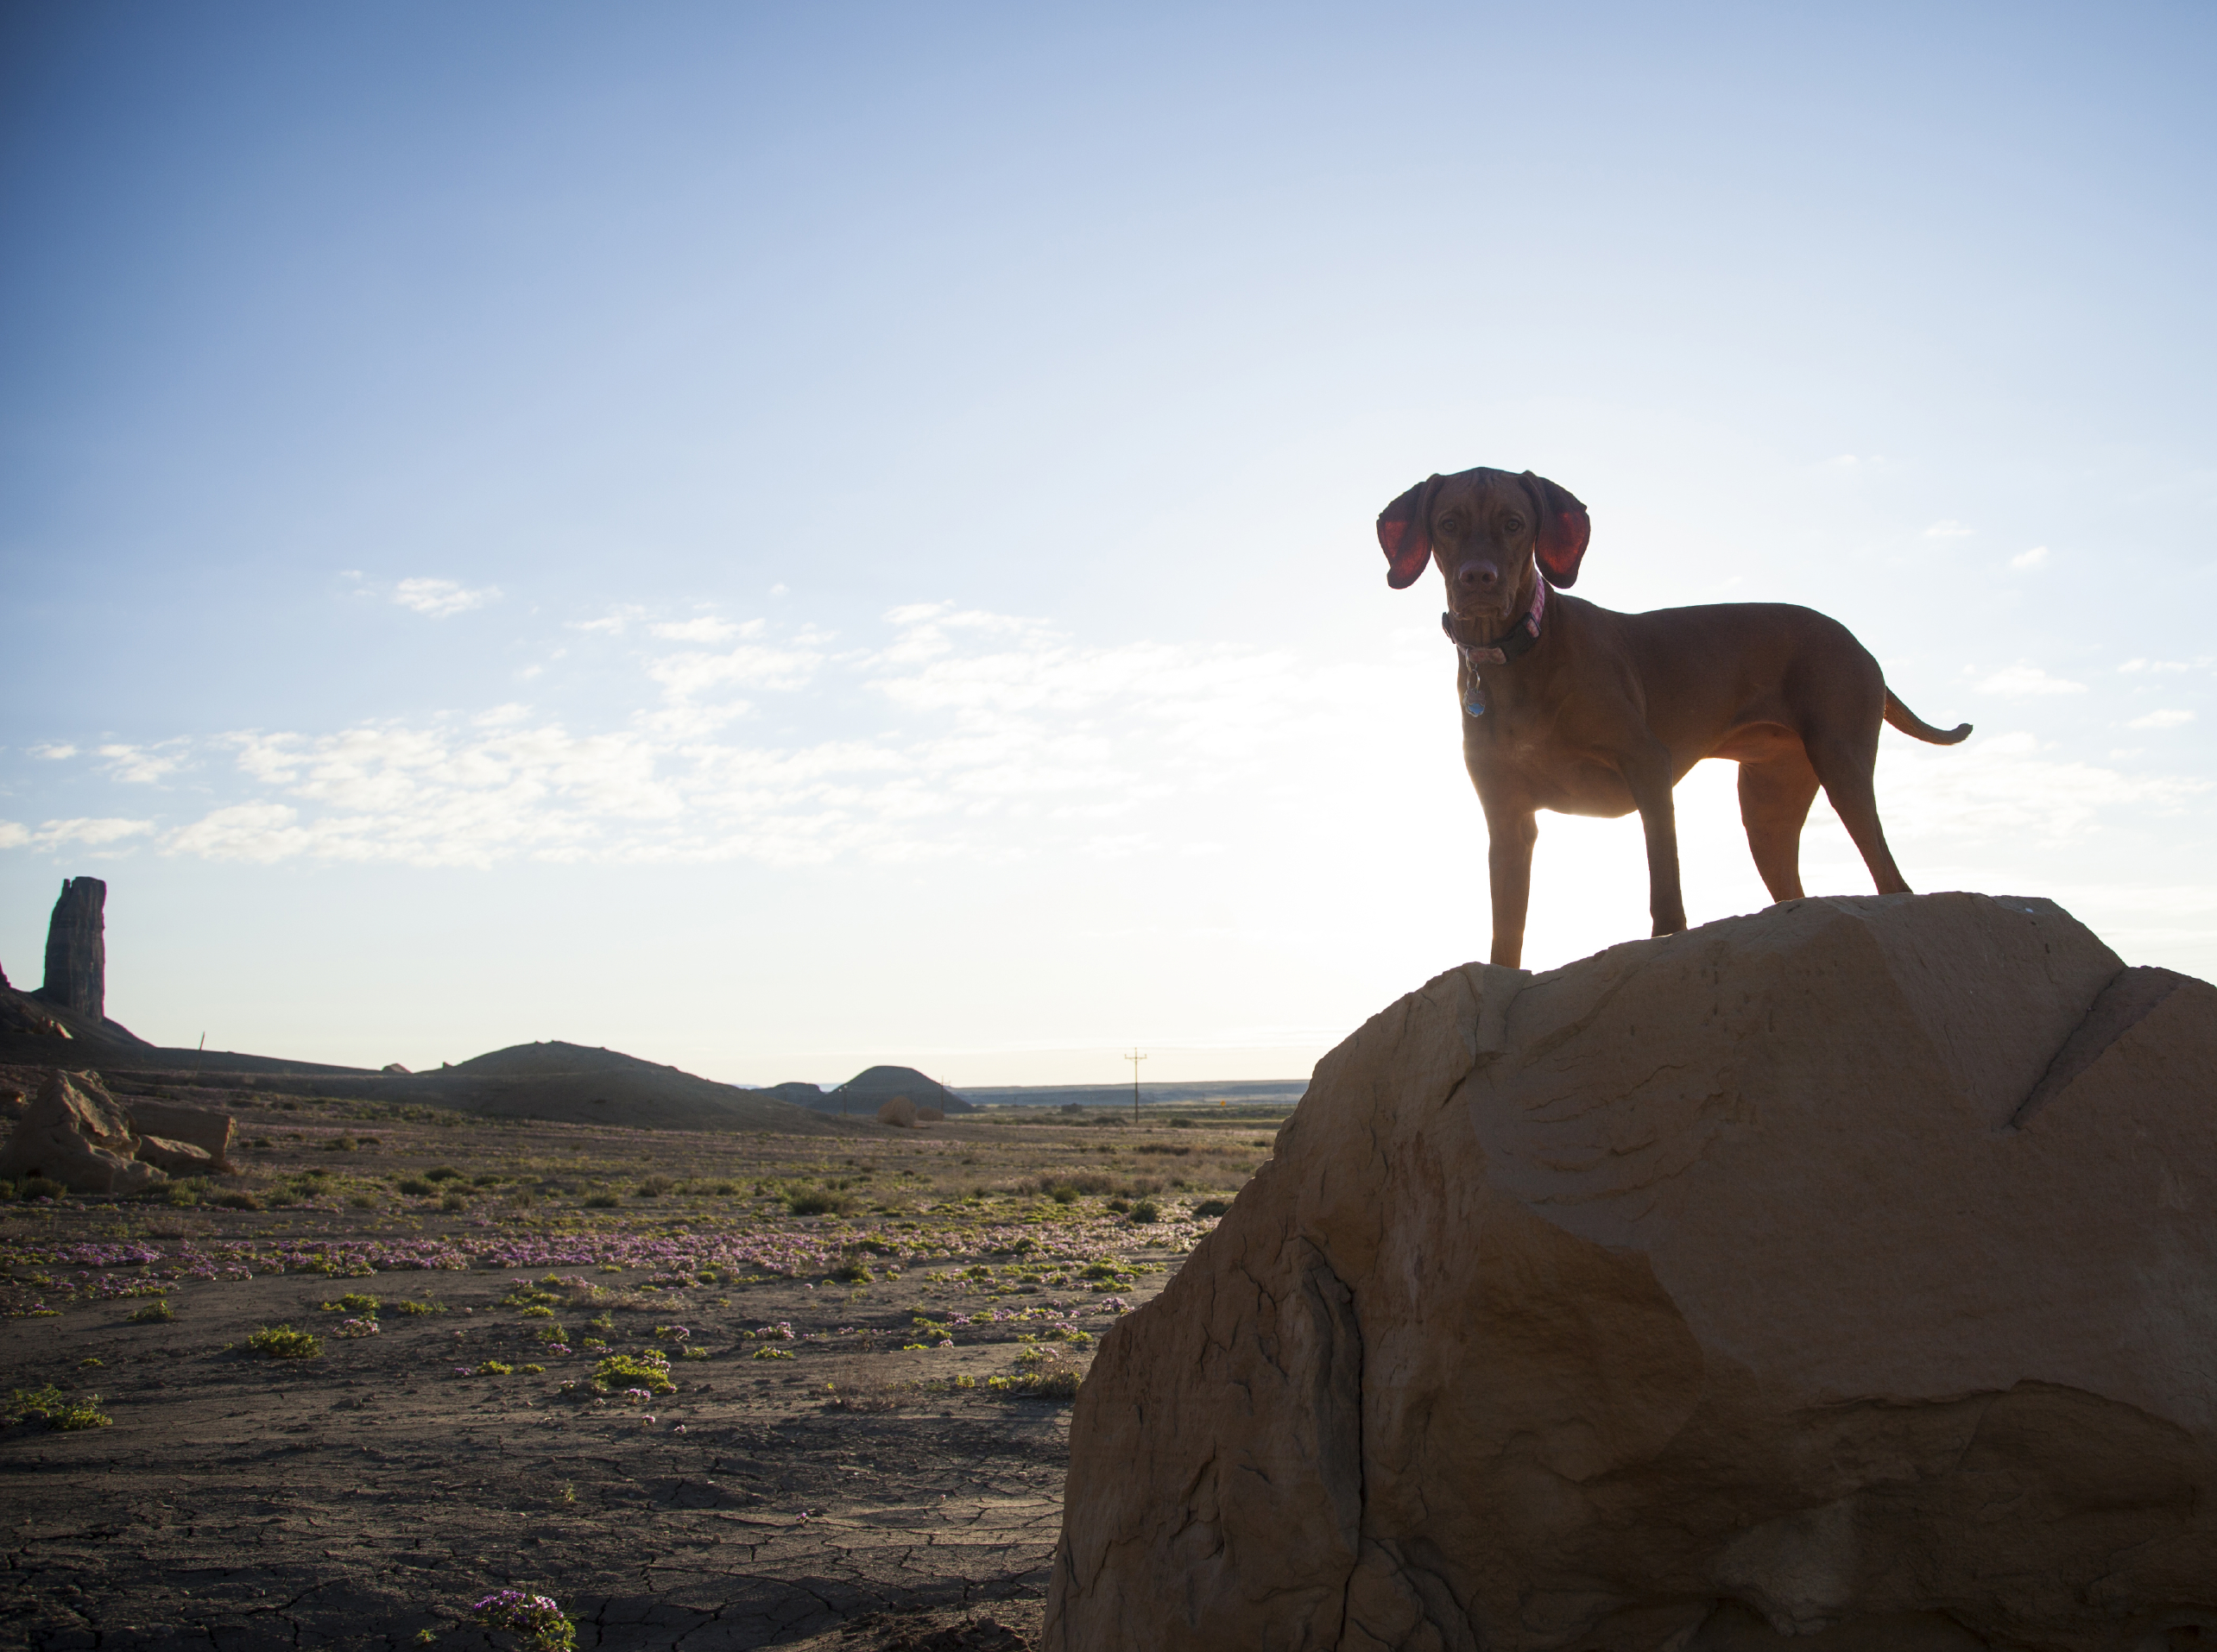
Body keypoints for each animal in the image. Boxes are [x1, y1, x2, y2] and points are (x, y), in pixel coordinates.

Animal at [1383, 463, 1977, 967]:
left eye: (1514, 523)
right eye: (1448, 524)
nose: (1477, 578)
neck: (1514, 656)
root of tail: (1859, 643)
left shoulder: (1647, 764)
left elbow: (1663, 875)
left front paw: (1667, 936)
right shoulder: (1506, 815)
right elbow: (1506, 930)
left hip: (1841, 759)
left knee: (1891, 877)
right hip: (1767, 807)